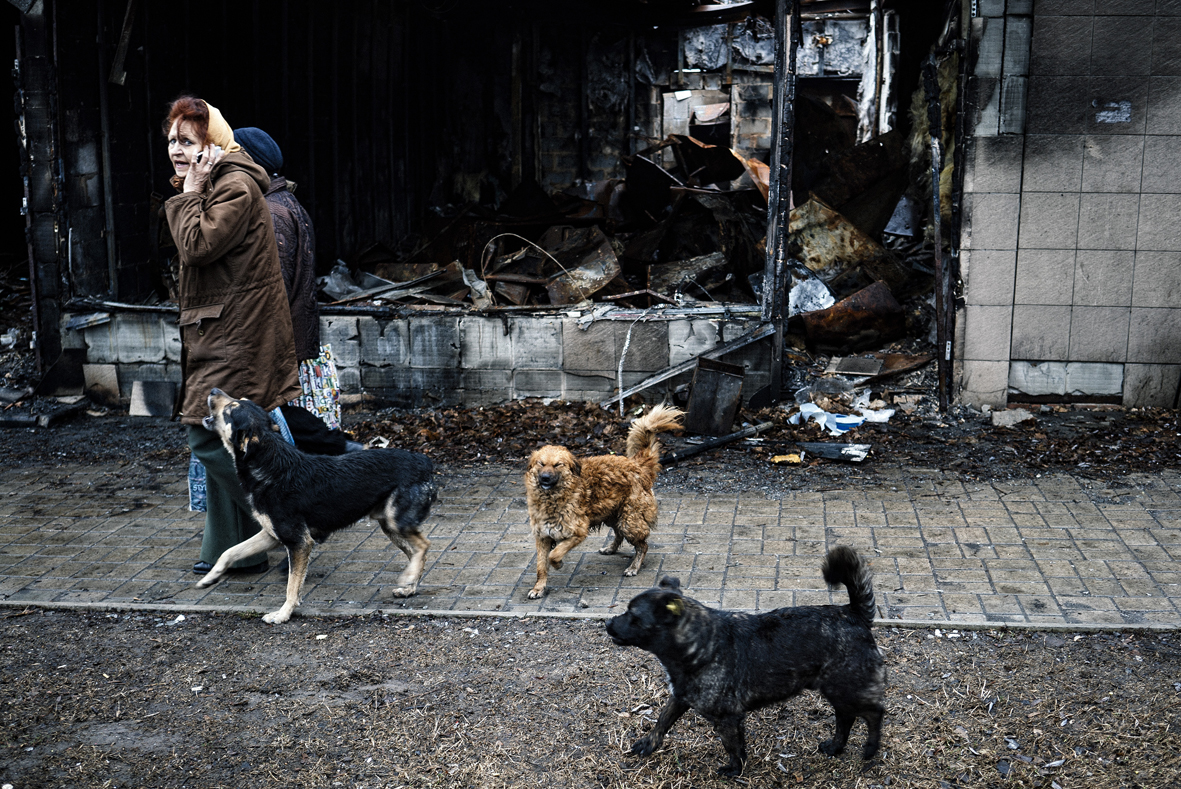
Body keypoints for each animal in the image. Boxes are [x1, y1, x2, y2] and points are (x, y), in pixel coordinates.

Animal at [198, 387, 439, 623]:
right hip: (389, 526)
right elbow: (230, 551)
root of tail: (425, 461)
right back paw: (409, 587)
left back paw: (409, 578)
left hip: (396, 522)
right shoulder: (271, 535)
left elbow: (291, 587)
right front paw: (210, 577)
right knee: (415, 552)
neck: (269, 466)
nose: (212, 389)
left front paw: (283, 614)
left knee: (424, 546)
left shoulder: (299, 542)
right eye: (239, 399)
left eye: (231, 408)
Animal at [526, 406, 684, 597]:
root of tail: (637, 465)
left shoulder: (578, 532)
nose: (545, 478)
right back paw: (610, 548)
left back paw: (634, 567)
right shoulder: (542, 536)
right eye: (541, 464)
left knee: (643, 545)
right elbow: (541, 566)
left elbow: (554, 555)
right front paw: (538, 588)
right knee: (619, 534)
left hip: (629, 521)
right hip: (612, 514)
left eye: (558, 465)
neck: (552, 499)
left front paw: (558, 564)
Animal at [609, 545, 888, 774]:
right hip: (837, 691)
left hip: (847, 688)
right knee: (846, 718)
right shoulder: (680, 698)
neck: (702, 643)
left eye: (634, 616)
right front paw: (648, 744)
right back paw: (835, 747)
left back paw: (871, 748)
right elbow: (662, 721)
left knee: (874, 713)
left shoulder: (727, 719)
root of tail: (853, 613)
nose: (608, 623)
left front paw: (734, 769)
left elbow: (732, 746)